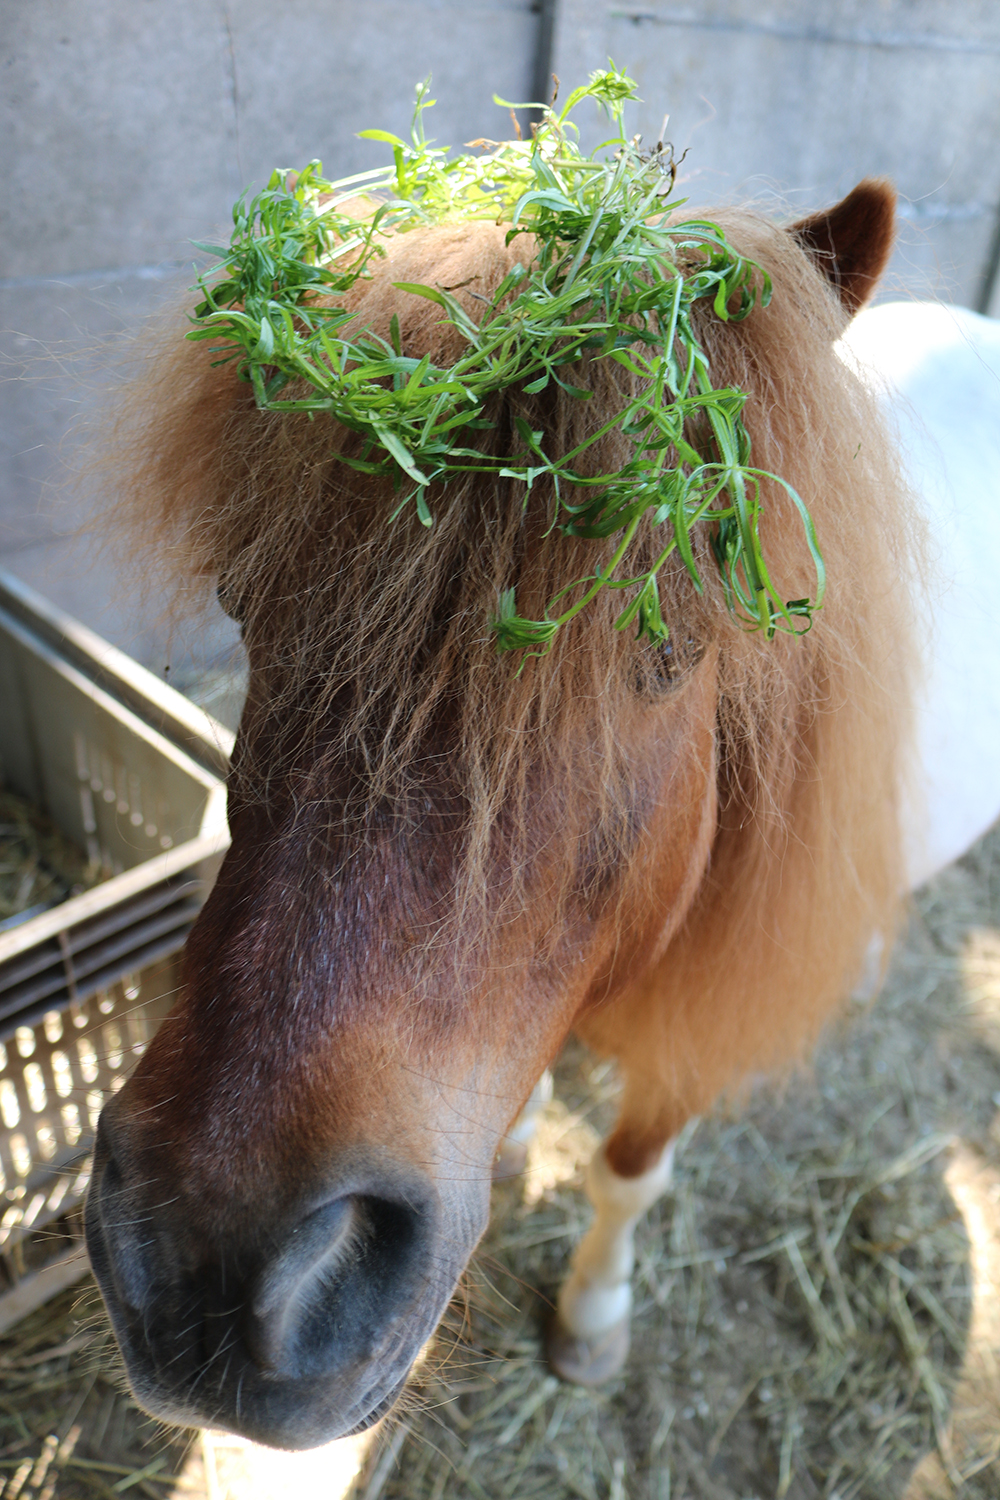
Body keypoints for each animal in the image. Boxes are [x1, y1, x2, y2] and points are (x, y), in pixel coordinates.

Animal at [83, 172, 947, 1440]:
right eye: (243, 600)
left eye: (669, 649)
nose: (207, 1261)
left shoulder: (696, 1033)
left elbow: (627, 1175)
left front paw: (594, 1314)